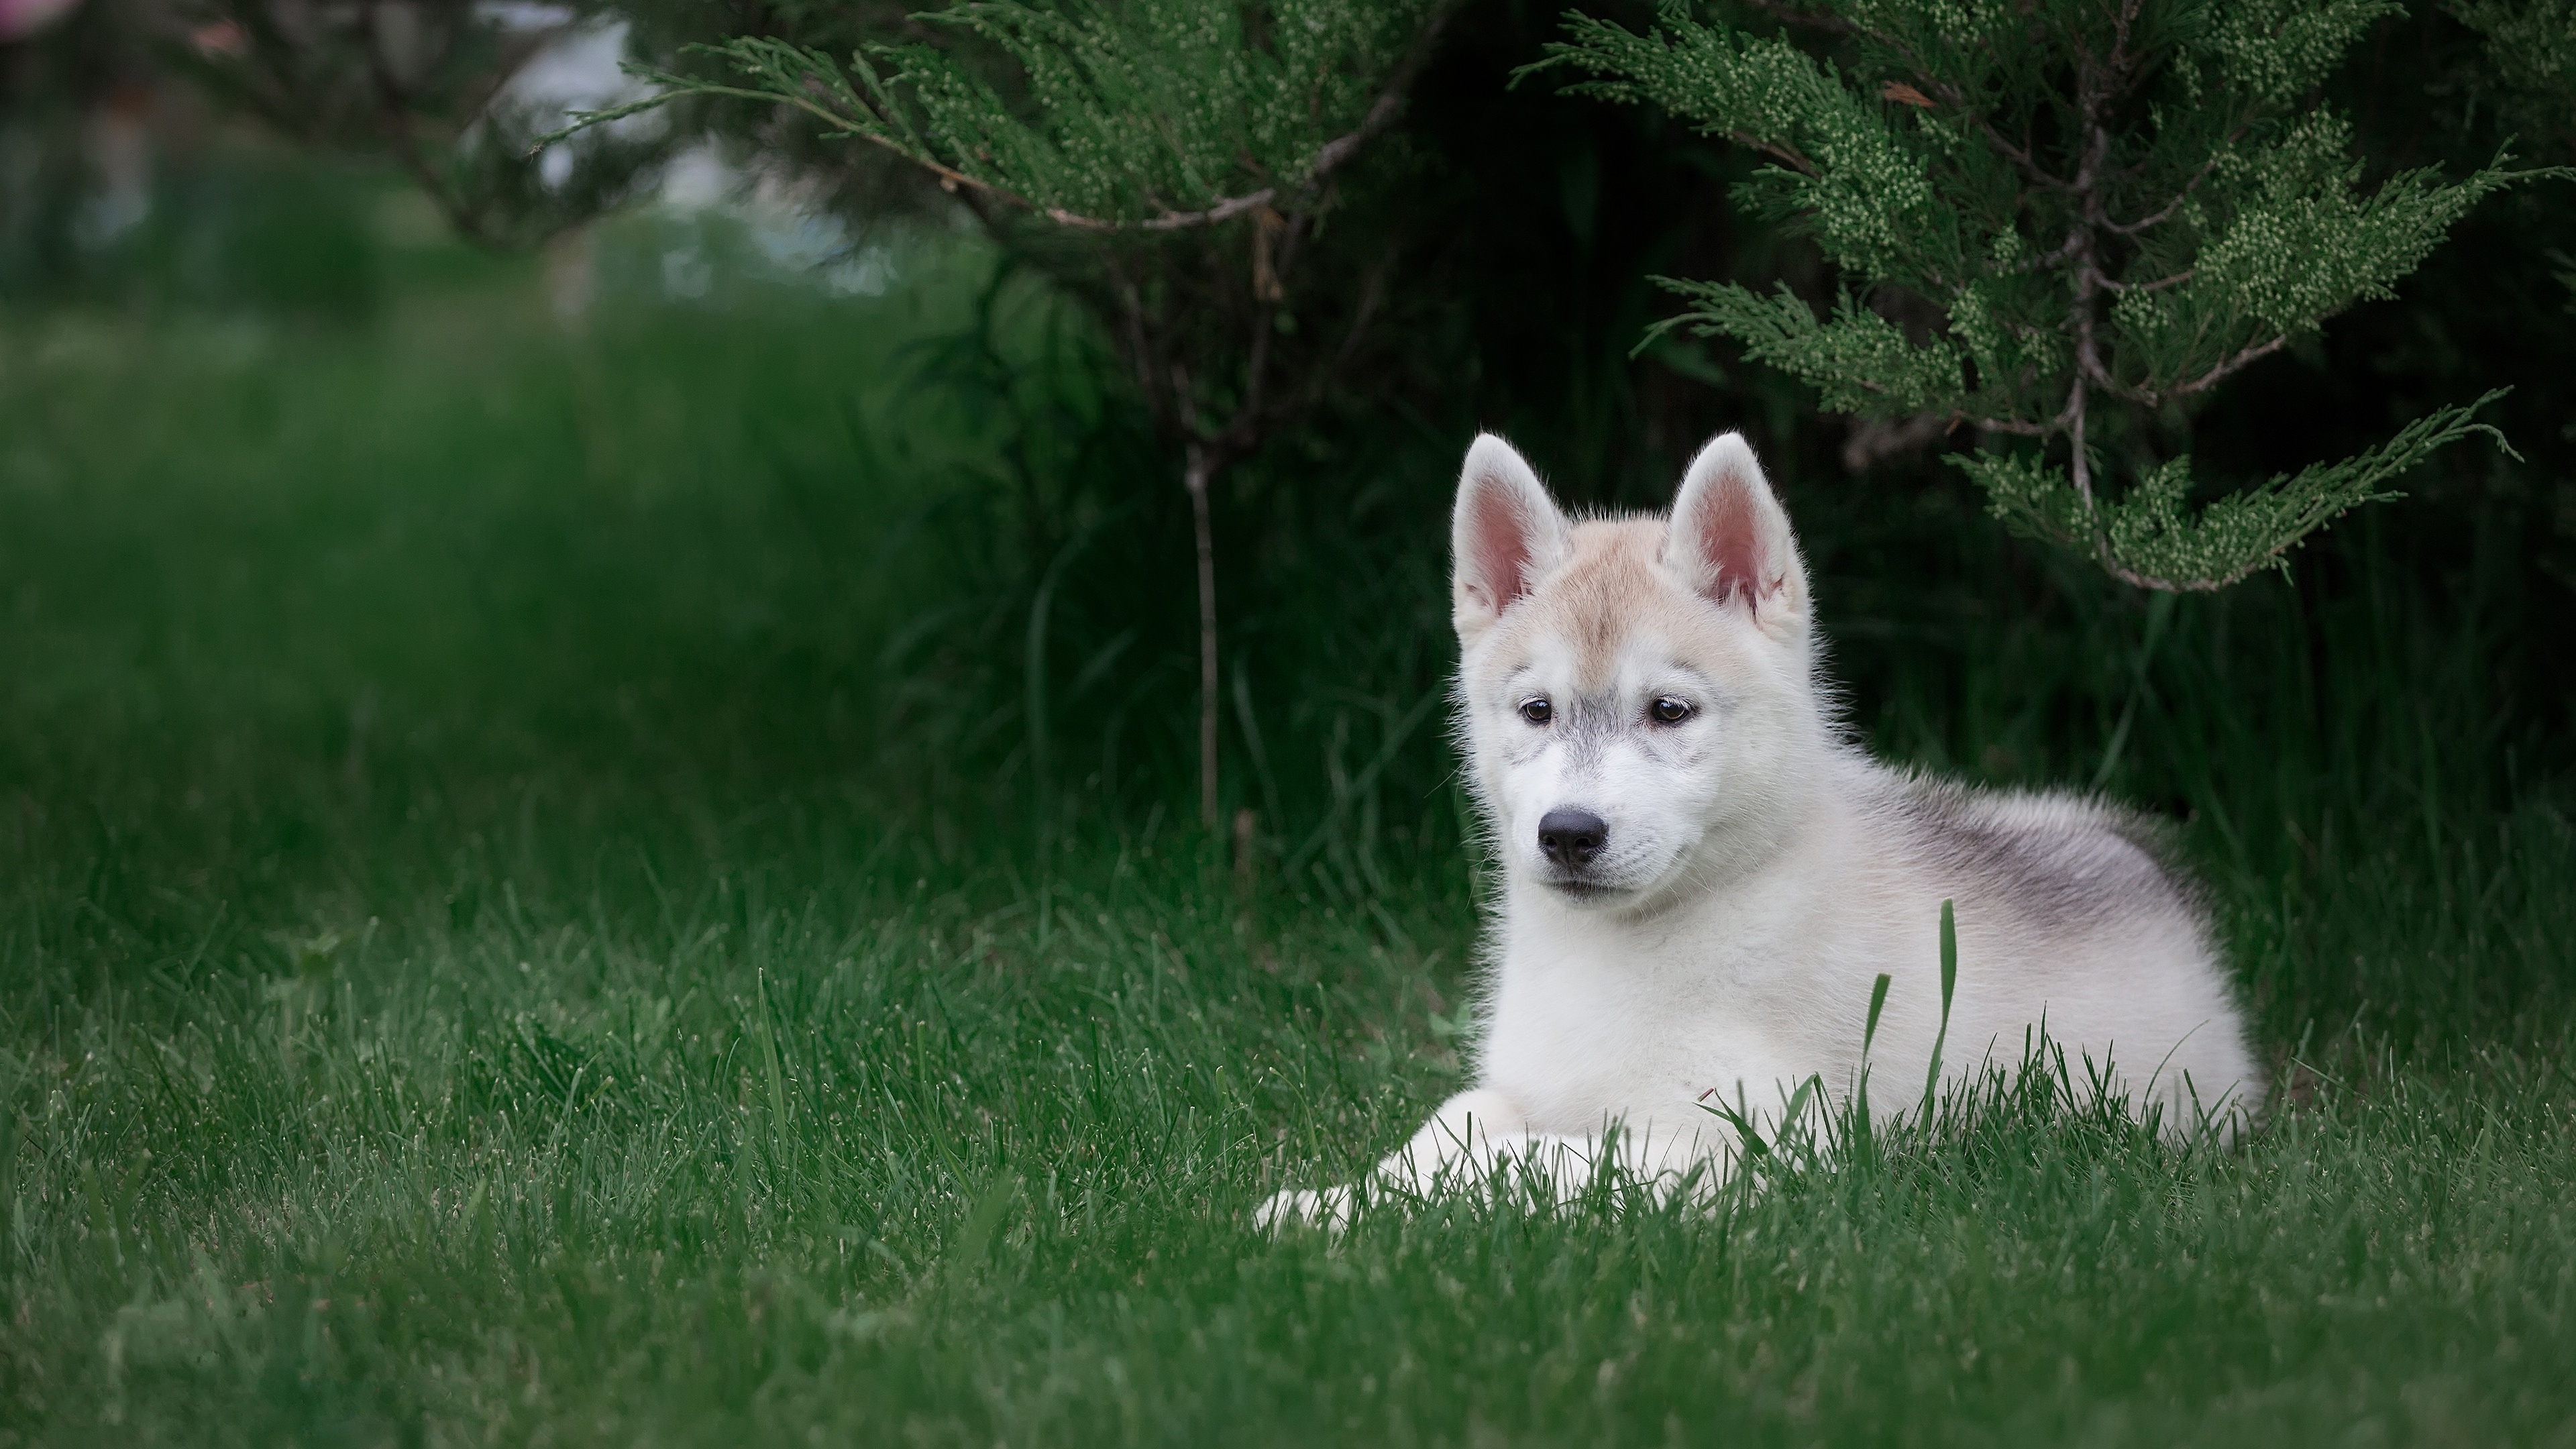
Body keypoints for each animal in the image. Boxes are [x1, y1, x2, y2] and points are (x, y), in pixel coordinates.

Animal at [1256, 430, 2267, 1227]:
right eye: (1537, 711)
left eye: (1669, 711)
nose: (1569, 834)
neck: (1627, 950)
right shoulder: (1527, 1084)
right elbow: (1454, 1125)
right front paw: (1328, 1203)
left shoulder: (1744, 1142)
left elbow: (1523, 1163)